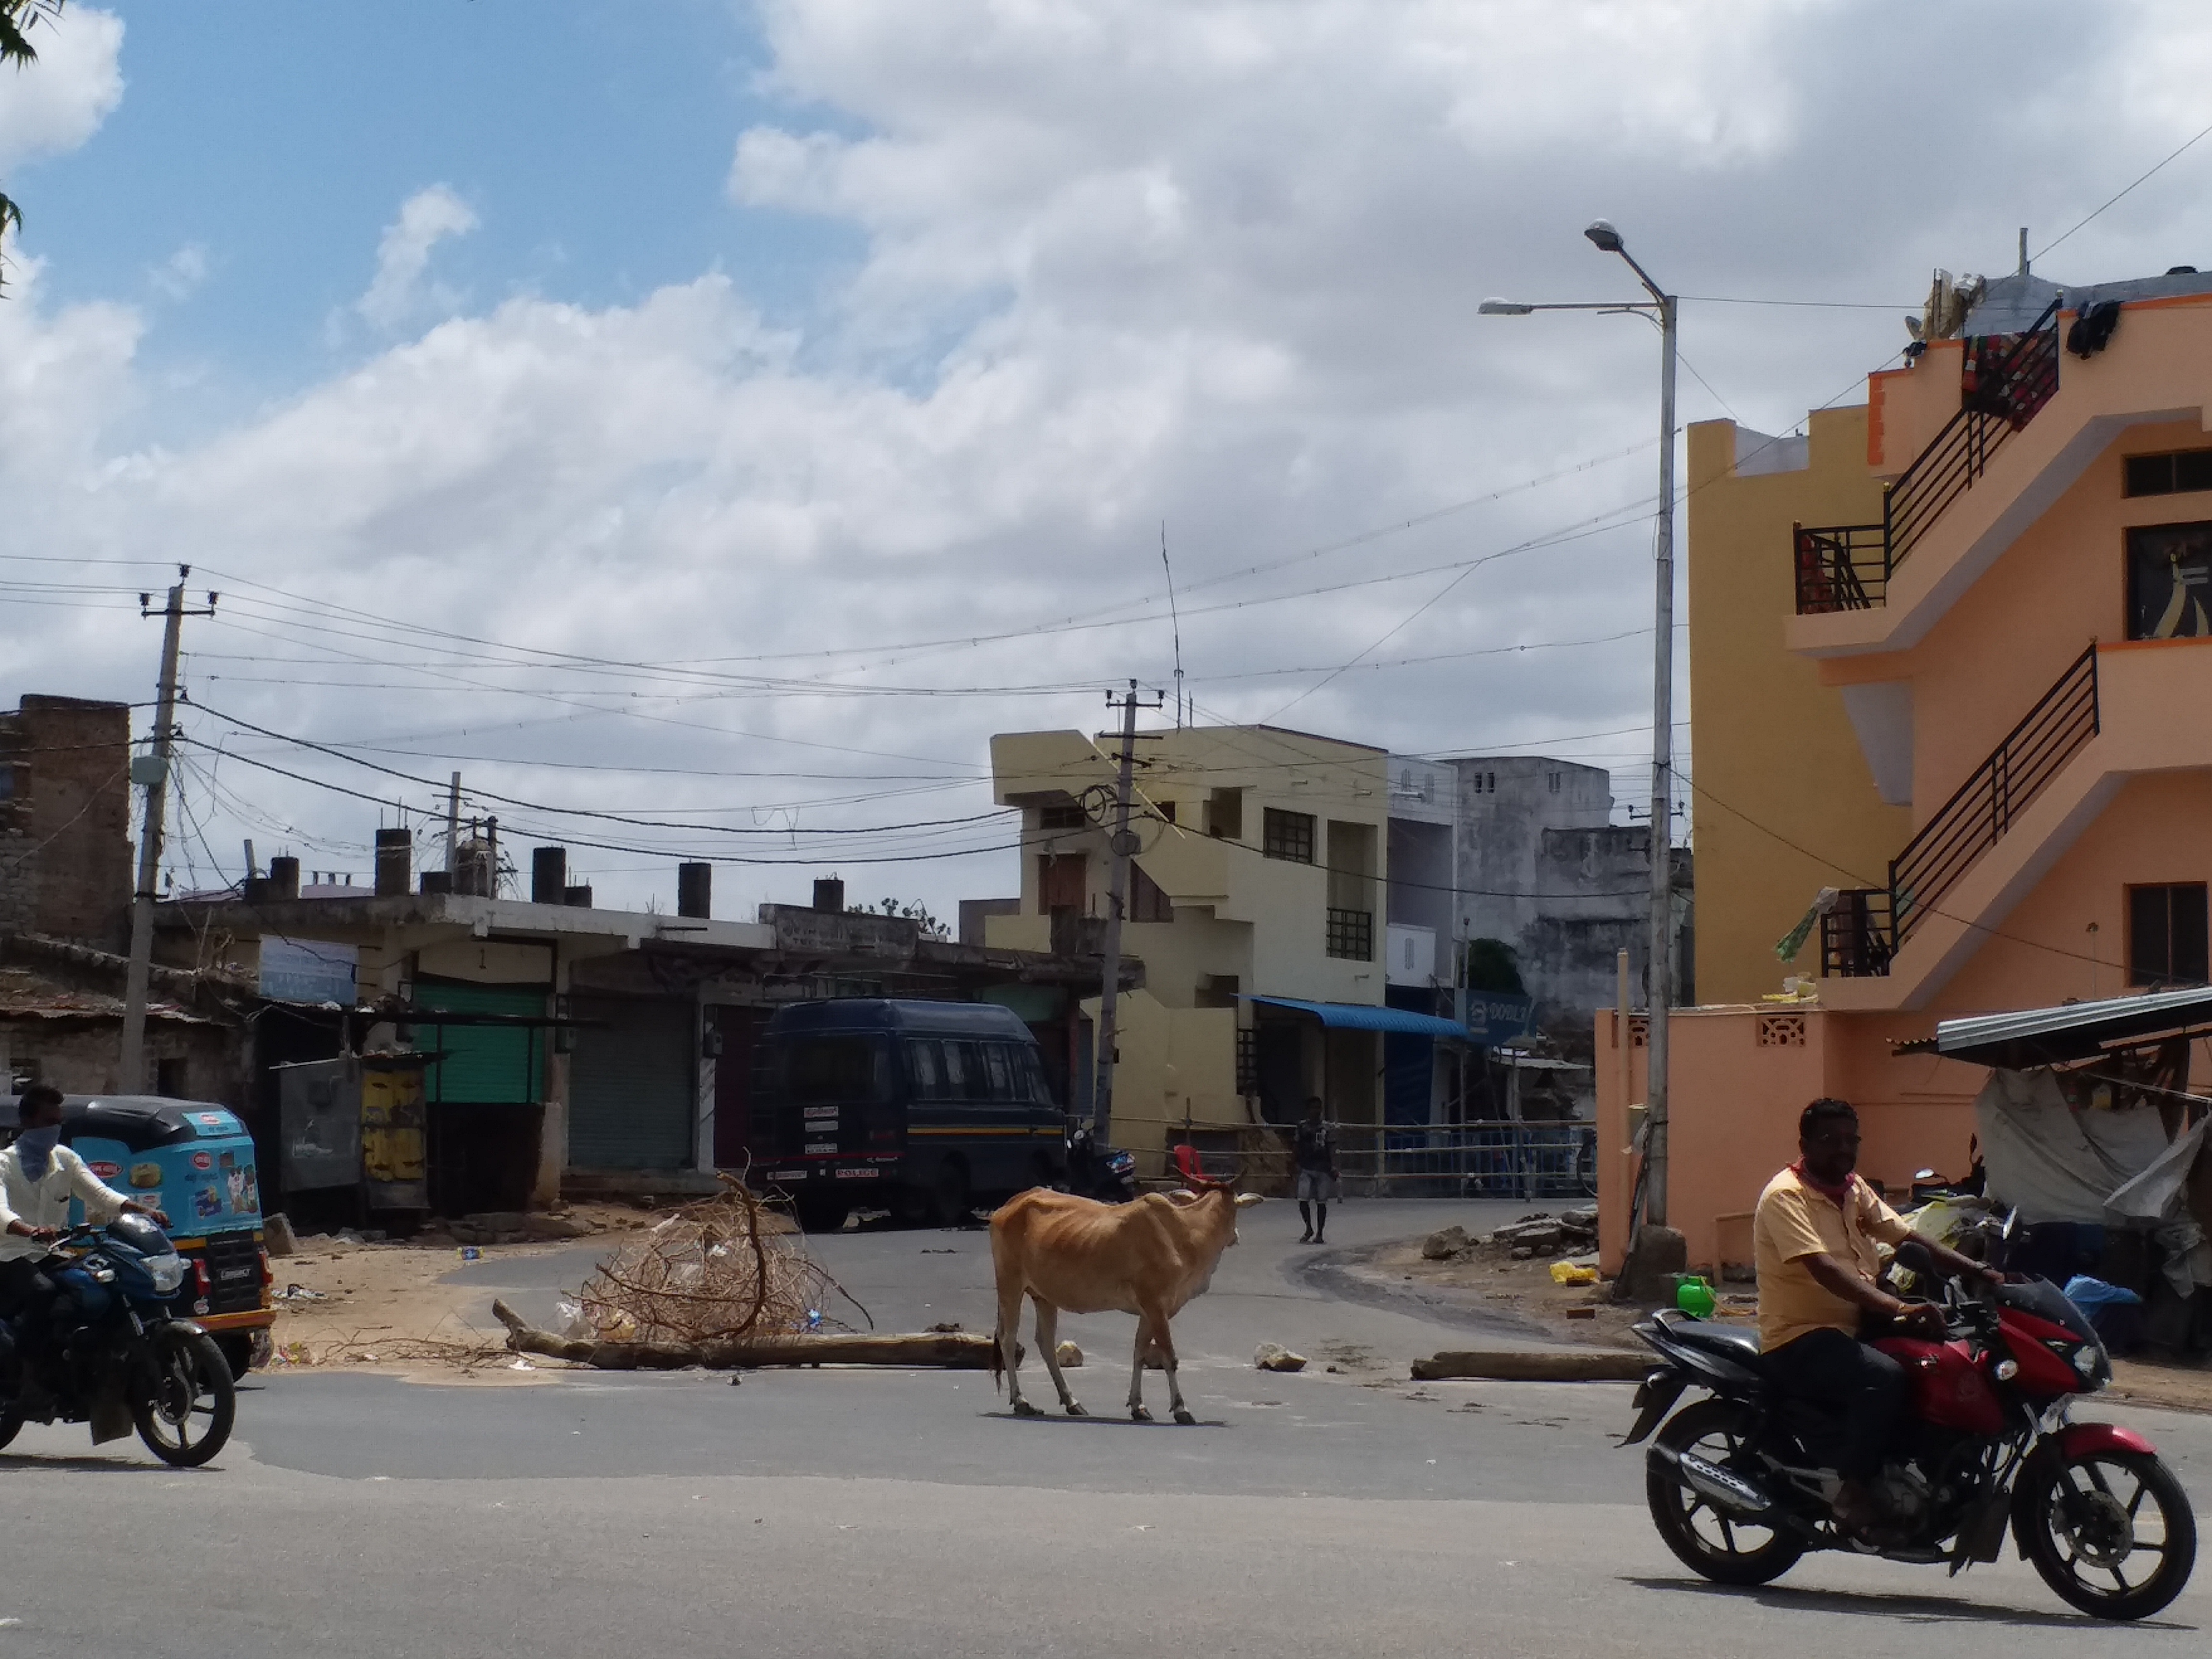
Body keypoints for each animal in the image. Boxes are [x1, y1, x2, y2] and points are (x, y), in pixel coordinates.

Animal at [991, 1168, 1256, 1433]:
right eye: (1235, 1209)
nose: (1236, 1237)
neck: (1184, 1233)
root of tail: (1007, 1207)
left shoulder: (1149, 1312)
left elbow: (1139, 1353)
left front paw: (1138, 1406)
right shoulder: (1156, 1306)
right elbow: (1169, 1357)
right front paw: (1181, 1409)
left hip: (1044, 1297)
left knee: (1045, 1343)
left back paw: (1072, 1402)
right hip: (1010, 1285)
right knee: (1008, 1338)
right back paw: (1022, 1401)